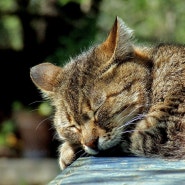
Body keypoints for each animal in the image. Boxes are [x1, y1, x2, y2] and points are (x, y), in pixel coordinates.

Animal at [29, 16, 185, 170]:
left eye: (98, 109)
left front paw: (67, 150)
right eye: (72, 126)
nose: (90, 143)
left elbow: (123, 139)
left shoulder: (159, 131)